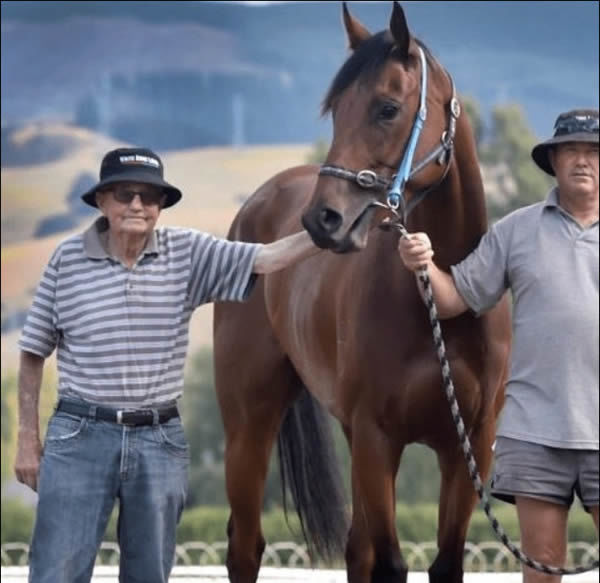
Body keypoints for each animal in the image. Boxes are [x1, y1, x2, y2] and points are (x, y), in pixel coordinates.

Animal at [213, 2, 508, 580]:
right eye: (335, 111)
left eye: (387, 108)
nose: (323, 220)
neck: (439, 301)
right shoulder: (377, 439)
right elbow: (390, 563)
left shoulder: (468, 447)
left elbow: (442, 562)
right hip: (248, 423)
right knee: (246, 546)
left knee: (355, 550)